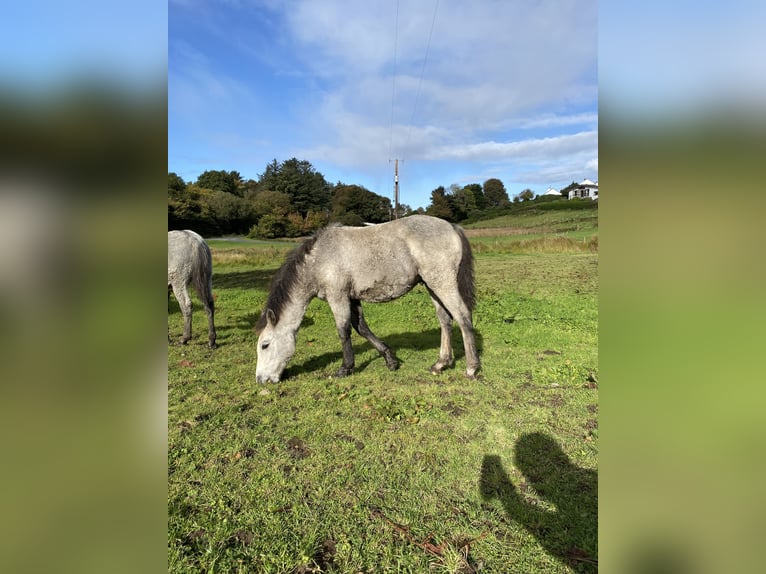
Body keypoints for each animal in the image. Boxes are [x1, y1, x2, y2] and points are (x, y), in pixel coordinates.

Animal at [252, 215, 480, 382]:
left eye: (265, 345)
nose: (261, 379)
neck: (319, 258)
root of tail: (451, 226)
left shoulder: (338, 297)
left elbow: (344, 331)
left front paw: (345, 368)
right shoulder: (353, 299)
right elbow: (361, 327)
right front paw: (390, 360)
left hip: (442, 284)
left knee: (462, 316)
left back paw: (471, 368)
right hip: (432, 287)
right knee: (445, 320)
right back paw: (441, 363)